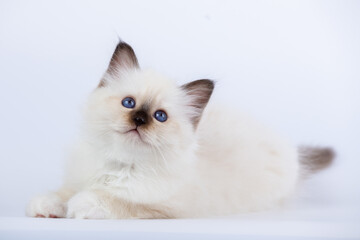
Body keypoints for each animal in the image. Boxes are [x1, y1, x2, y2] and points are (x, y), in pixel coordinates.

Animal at [26, 41, 334, 219]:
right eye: (129, 103)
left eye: (160, 116)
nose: (139, 119)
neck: (119, 164)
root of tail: (292, 150)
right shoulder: (80, 177)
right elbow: (62, 192)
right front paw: (46, 206)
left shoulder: (166, 208)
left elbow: (115, 201)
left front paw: (80, 205)